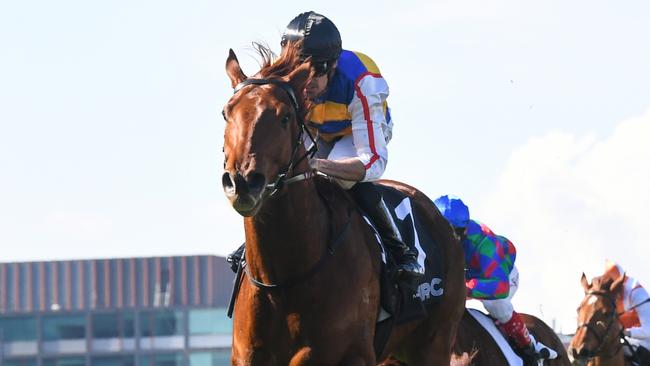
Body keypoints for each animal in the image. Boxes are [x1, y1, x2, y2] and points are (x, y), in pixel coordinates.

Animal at [223, 43, 466, 366]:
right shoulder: (247, 356)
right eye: (226, 113)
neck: (285, 278)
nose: (242, 182)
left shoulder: (348, 354)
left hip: (433, 343)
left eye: (284, 117)